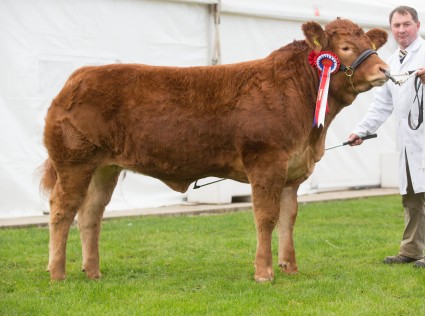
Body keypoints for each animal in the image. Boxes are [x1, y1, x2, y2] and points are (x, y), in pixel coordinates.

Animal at [39, 17, 388, 282]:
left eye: (371, 46)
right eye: (345, 48)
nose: (384, 69)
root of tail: (79, 77)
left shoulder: (292, 171)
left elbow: (289, 218)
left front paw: (290, 267)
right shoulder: (267, 163)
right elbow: (266, 217)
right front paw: (264, 272)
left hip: (104, 168)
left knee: (90, 213)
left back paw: (92, 272)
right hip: (74, 162)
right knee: (62, 209)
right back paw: (57, 273)